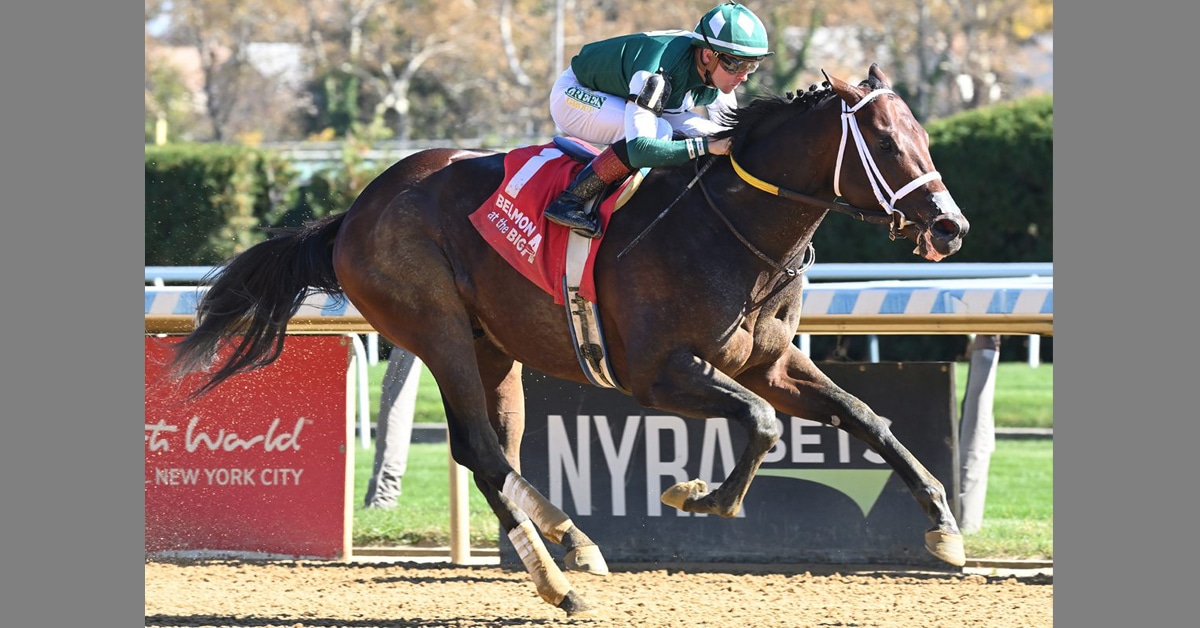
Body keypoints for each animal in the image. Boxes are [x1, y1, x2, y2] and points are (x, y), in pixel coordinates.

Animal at [167, 63, 970, 617]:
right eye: (887, 141)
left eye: (927, 137)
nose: (950, 227)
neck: (727, 227)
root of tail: (355, 212)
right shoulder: (657, 372)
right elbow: (763, 423)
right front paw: (700, 496)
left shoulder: (769, 361)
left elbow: (864, 417)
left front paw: (944, 528)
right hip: (435, 328)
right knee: (480, 448)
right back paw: (557, 581)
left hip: (493, 346)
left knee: (494, 447)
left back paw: (571, 542)